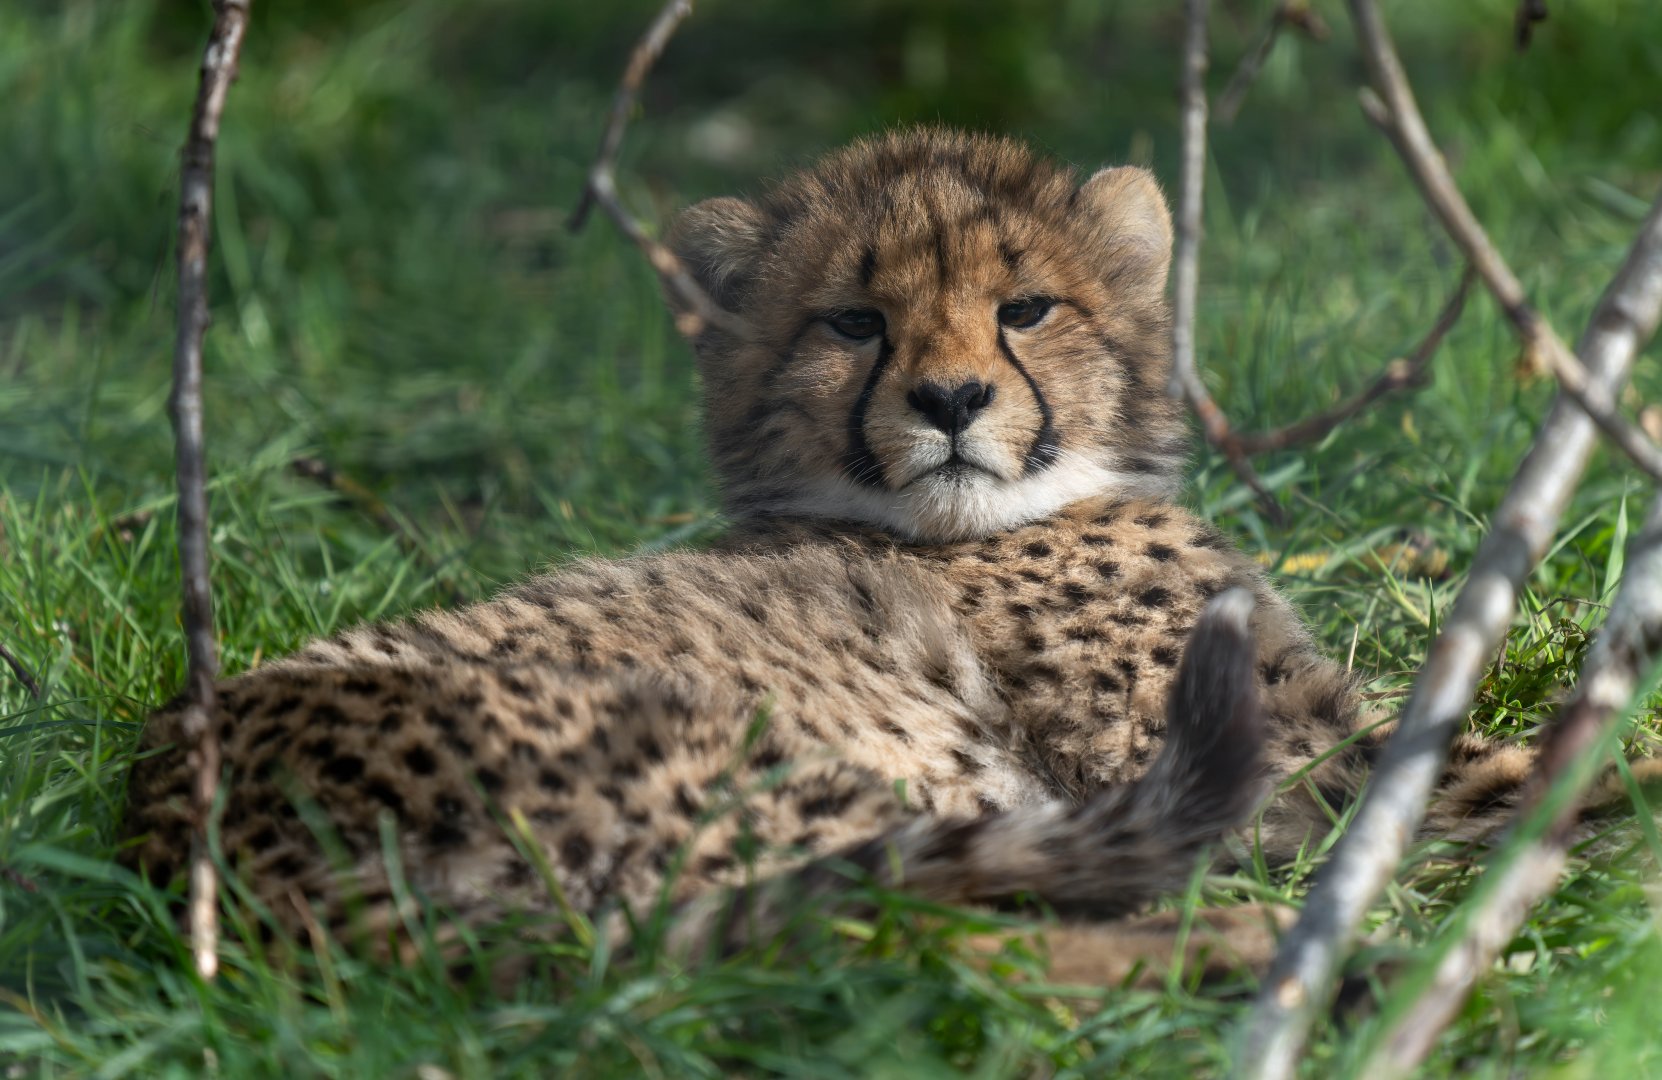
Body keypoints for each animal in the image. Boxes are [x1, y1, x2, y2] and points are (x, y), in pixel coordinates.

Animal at [121, 127, 1639, 976]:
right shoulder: (1281, 765)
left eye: (1025, 310)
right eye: (853, 324)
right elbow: (1552, 773)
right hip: (778, 775)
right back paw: (1286, 954)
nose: (952, 400)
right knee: (904, 955)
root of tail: (192, 833)